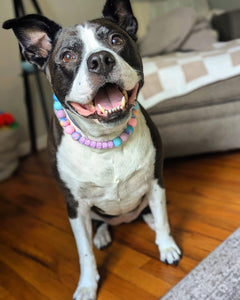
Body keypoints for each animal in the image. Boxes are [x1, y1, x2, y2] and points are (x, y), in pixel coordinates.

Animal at [3, 1, 181, 298]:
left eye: (116, 40)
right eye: (67, 56)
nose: (100, 60)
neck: (106, 142)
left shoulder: (156, 181)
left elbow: (164, 218)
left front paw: (167, 246)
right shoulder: (75, 206)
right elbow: (84, 251)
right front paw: (87, 285)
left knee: (149, 212)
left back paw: (150, 223)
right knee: (101, 223)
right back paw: (102, 235)